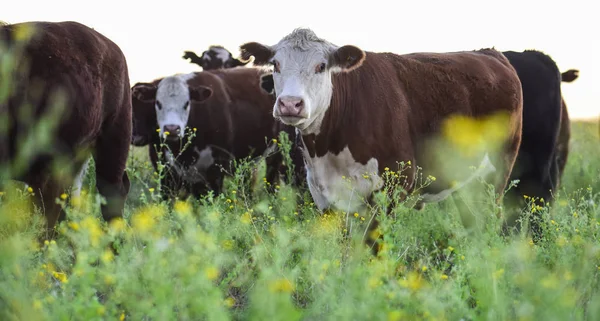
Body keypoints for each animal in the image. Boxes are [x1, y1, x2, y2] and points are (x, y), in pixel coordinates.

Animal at [130, 66, 292, 199]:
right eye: (158, 103)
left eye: (187, 103)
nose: (171, 129)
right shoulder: (167, 174)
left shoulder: (215, 169)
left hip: (276, 153)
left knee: (271, 182)